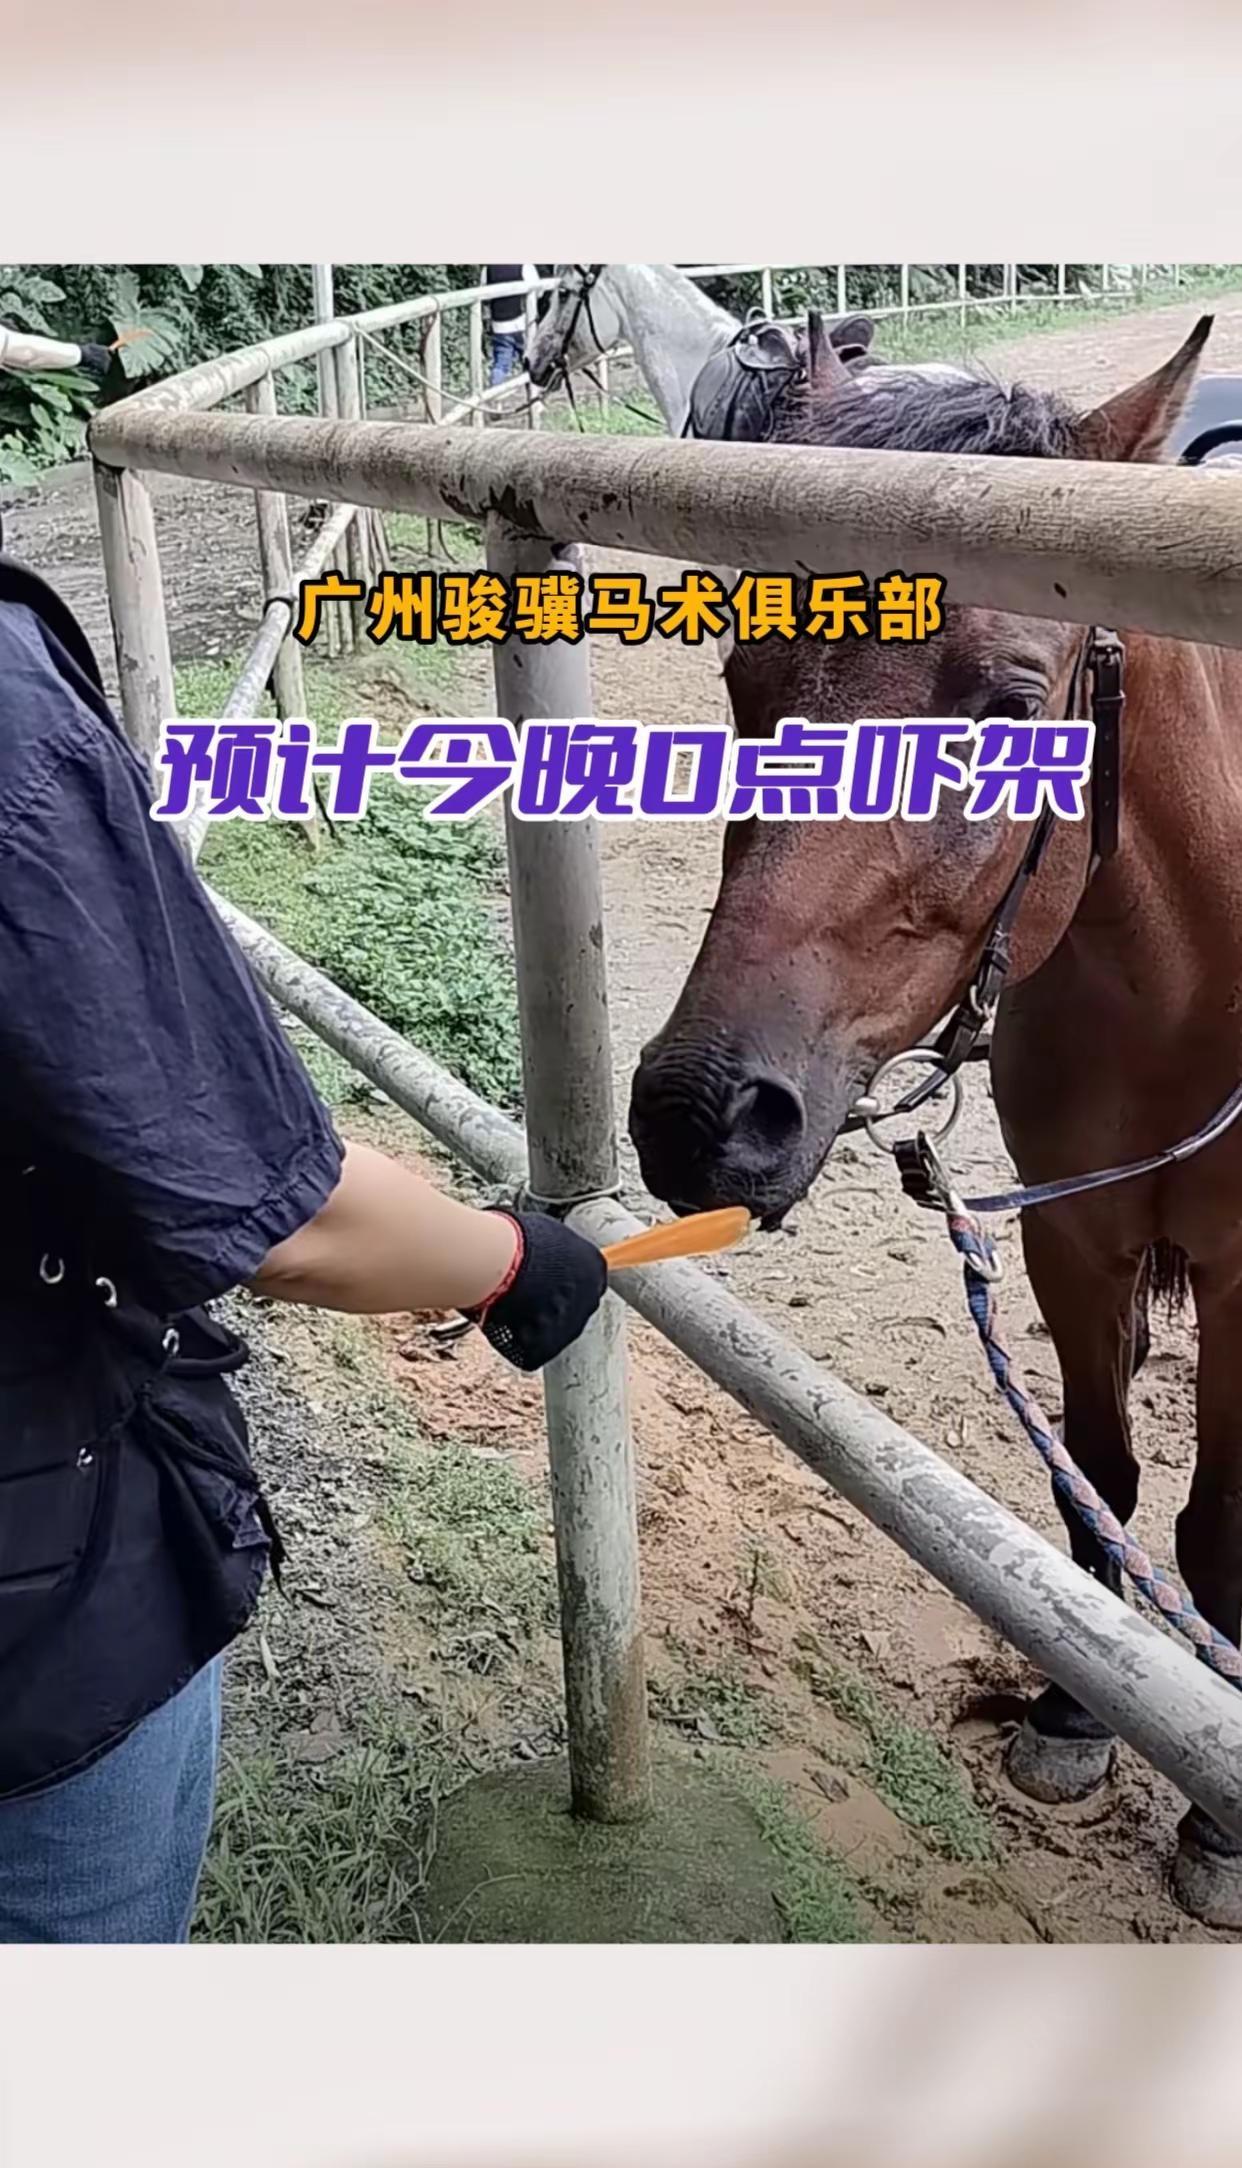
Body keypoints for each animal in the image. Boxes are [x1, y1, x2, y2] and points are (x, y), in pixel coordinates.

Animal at [626, 315, 1242, 1928]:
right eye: (743, 669)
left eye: (1013, 704)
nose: (701, 1114)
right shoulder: (1073, 1239)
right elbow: (1099, 1480)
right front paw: (1080, 1710)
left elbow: (1213, 1521)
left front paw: (1219, 1826)